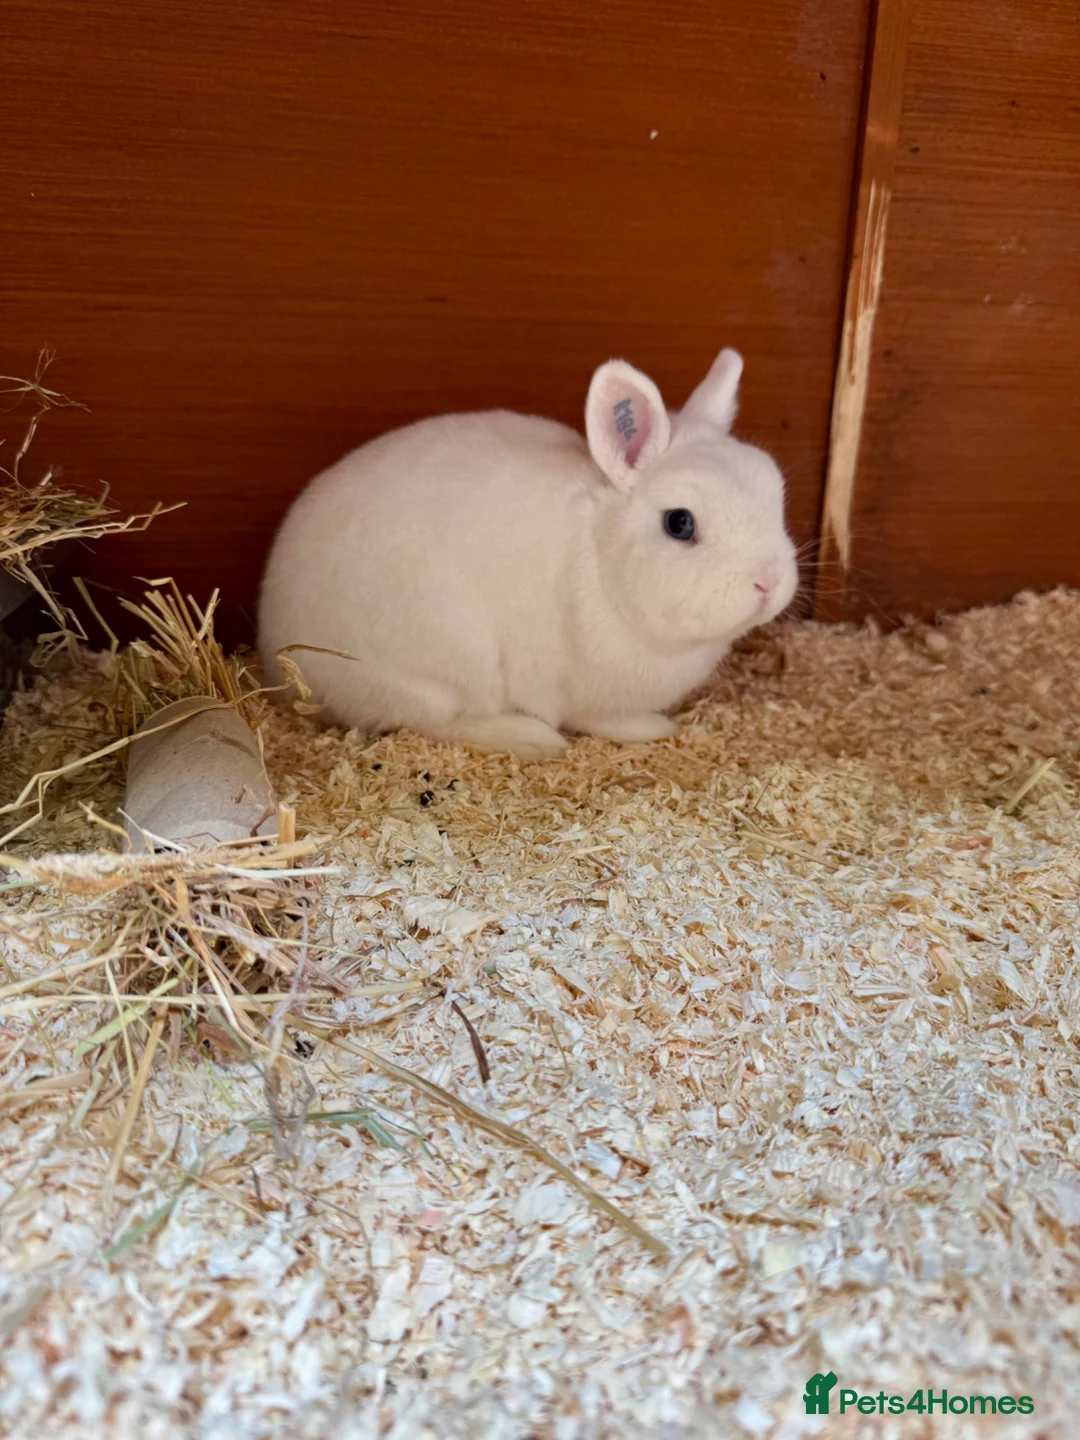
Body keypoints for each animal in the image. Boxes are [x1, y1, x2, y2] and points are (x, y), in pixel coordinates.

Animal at [257, 347, 798, 760]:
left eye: (775, 490)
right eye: (679, 524)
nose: (769, 583)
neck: (599, 561)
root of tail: (274, 650)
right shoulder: (588, 696)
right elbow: (606, 720)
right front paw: (653, 728)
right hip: (445, 662)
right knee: (432, 720)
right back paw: (532, 738)